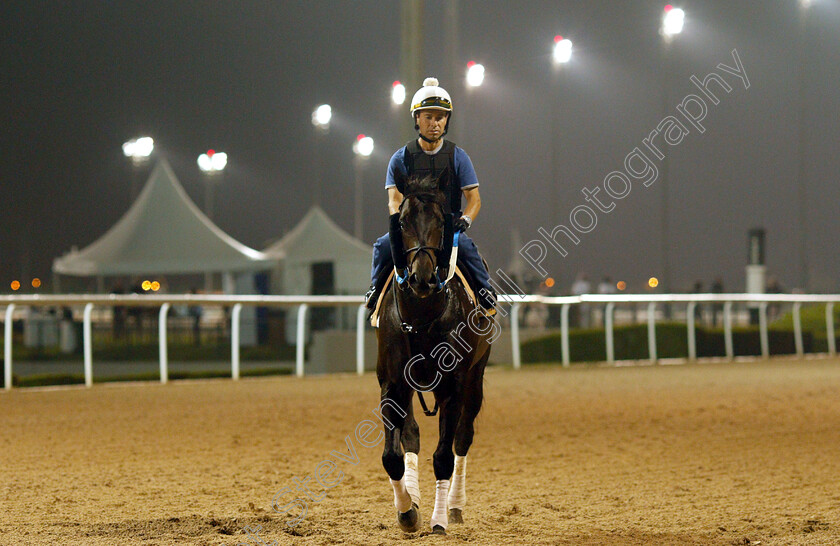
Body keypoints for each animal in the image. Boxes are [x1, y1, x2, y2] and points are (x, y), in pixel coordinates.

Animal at [374, 168, 492, 532]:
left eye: (441, 220)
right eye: (403, 222)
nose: (421, 278)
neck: (422, 317)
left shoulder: (454, 387)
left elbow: (444, 457)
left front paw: (439, 519)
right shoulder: (393, 383)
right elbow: (392, 455)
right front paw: (406, 512)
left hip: (476, 378)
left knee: (463, 439)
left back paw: (454, 506)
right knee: (411, 434)